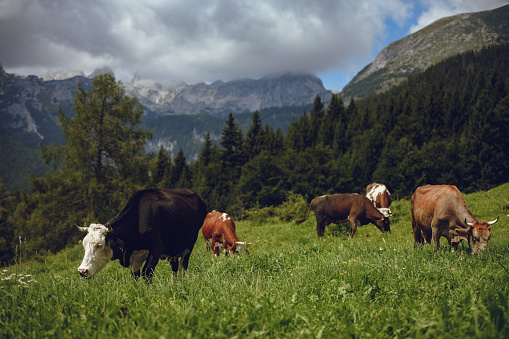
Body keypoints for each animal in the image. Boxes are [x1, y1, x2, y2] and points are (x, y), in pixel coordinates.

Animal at [77, 190, 206, 280]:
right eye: (84, 246)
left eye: (99, 245)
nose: (82, 271)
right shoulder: (136, 257)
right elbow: (136, 276)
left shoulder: (156, 249)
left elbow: (146, 273)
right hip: (174, 248)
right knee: (174, 266)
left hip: (190, 243)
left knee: (183, 266)